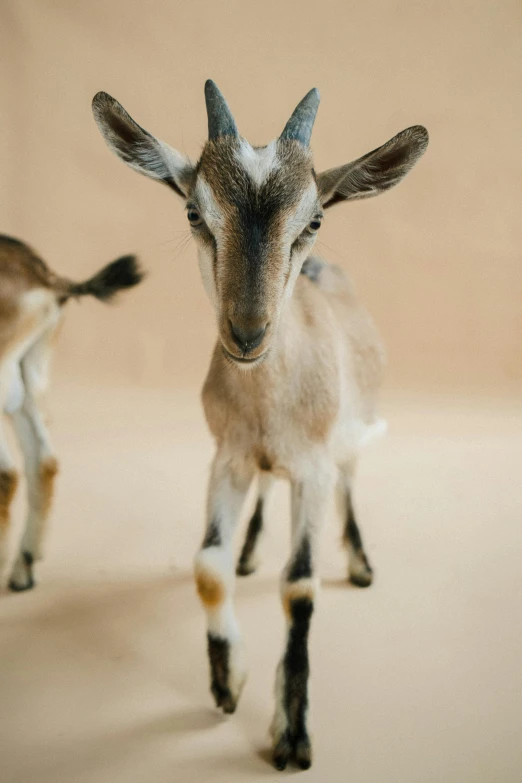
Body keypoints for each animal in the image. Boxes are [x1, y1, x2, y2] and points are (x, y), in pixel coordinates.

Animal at [93, 81, 426, 772]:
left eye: (315, 220)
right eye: (194, 212)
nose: (247, 333)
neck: (270, 404)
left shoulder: (314, 470)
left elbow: (299, 587)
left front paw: (293, 735)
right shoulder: (227, 458)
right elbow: (205, 565)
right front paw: (227, 682)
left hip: (349, 439)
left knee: (353, 480)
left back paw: (360, 564)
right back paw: (250, 551)